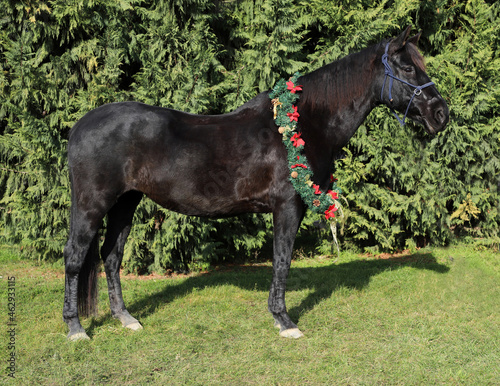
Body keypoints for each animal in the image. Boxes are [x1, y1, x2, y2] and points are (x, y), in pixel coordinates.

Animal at [63, 27, 450, 340]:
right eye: (407, 68)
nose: (441, 113)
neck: (305, 123)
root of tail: (80, 126)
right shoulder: (288, 206)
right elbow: (282, 259)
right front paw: (284, 321)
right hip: (92, 205)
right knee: (74, 256)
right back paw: (76, 329)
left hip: (126, 202)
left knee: (111, 256)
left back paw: (126, 319)